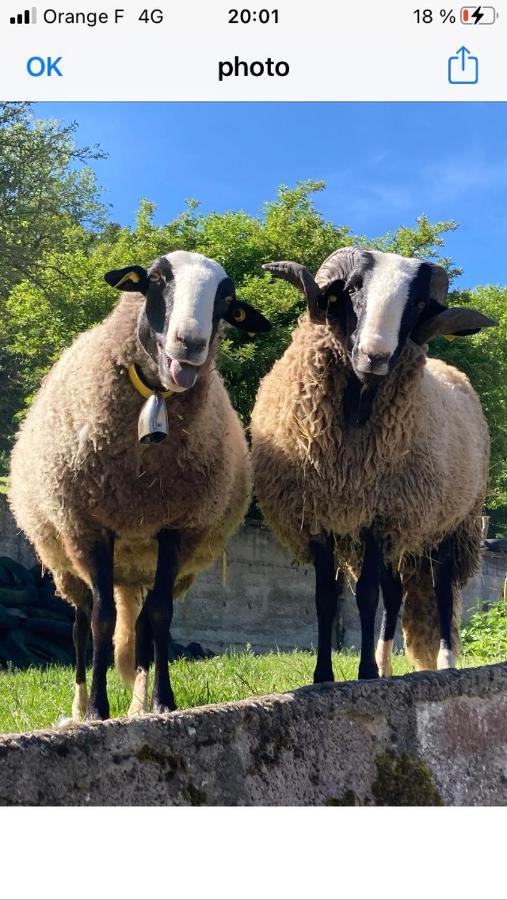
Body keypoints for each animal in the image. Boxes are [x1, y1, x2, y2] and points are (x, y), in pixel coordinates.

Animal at [7, 248, 272, 716]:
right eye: (156, 280)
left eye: (226, 301)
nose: (190, 344)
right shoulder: (91, 526)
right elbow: (101, 619)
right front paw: (97, 708)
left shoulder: (176, 529)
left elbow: (161, 616)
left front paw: (164, 701)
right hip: (65, 559)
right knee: (81, 622)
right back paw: (78, 707)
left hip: (147, 566)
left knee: (144, 622)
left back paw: (138, 705)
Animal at [252, 246, 498, 684]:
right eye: (352, 288)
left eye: (417, 305)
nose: (374, 356)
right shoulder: (320, 518)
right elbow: (325, 598)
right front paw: (324, 676)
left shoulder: (378, 517)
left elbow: (366, 596)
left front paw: (364, 671)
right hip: (406, 532)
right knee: (395, 590)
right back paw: (386, 666)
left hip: (452, 522)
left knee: (442, 588)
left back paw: (445, 662)